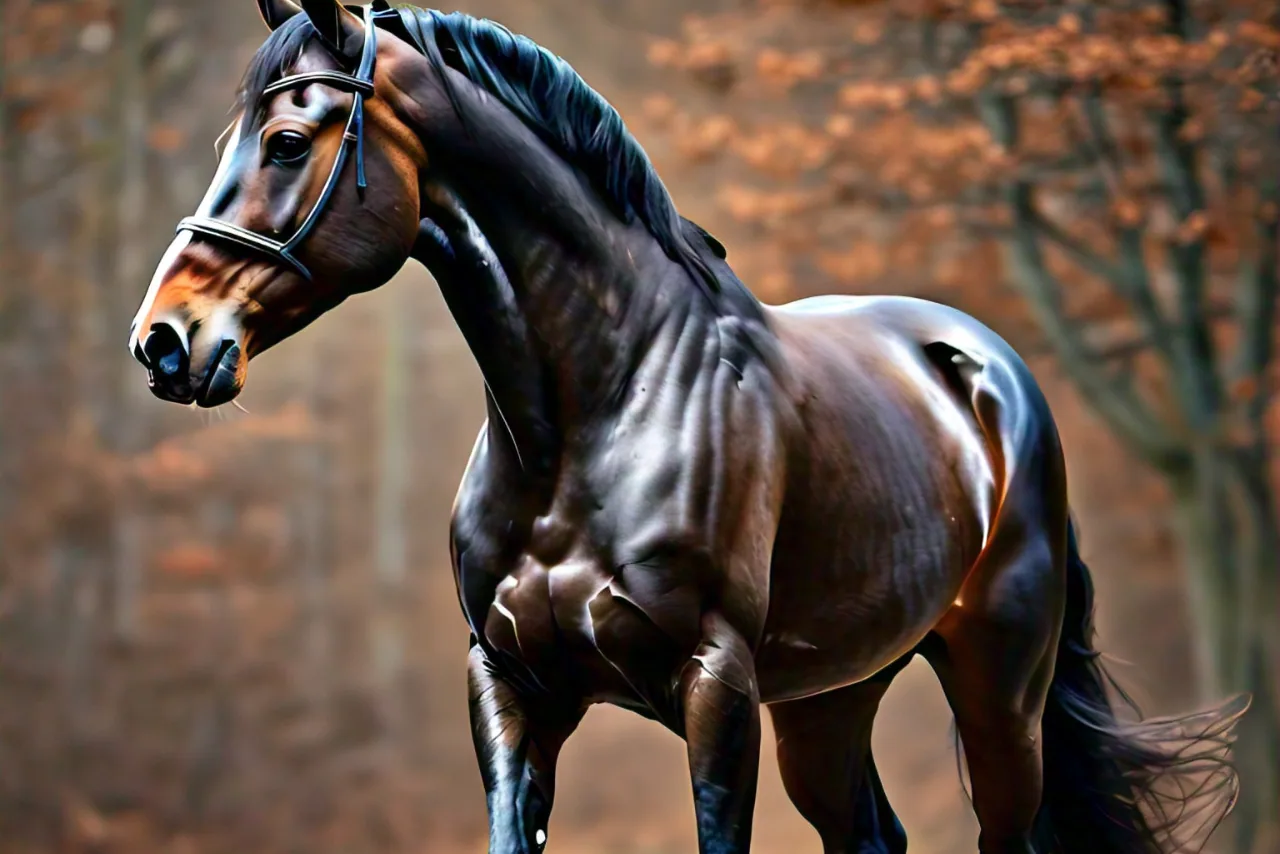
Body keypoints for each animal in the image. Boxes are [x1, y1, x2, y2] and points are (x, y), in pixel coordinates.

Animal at [126, 2, 1245, 852]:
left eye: (285, 142)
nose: (165, 341)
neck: (595, 416)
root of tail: (990, 373)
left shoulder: (715, 688)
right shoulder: (512, 689)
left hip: (998, 690)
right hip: (830, 699)